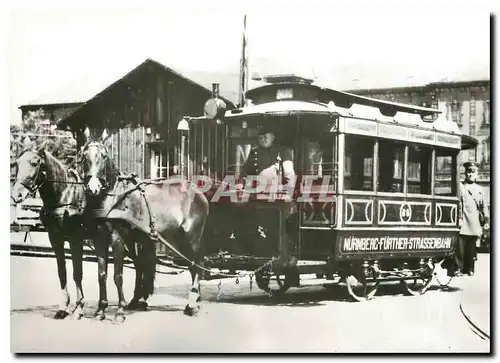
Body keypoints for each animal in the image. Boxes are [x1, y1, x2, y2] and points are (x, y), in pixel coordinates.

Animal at [11, 141, 87, 320]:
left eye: (34, 163)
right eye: (17, 164)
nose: (16, 195)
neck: (64, 195)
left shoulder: (76, 240)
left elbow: (77, 272)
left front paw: (79, 308)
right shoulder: (55, 239)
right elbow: (62, 272)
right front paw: (63, 308)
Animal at [77, 129, 209, 322]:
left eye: (103, 155)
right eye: (84, 156)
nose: (93, 188)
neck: (112, 197)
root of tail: (198, 192)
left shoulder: (117, 238)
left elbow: (118, 276)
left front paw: (120, 312)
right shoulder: (99, 237)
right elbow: (102, 275)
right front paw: (101, 310)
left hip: (190, 237)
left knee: (196, 264)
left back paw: (192, 305)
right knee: (192, 266)